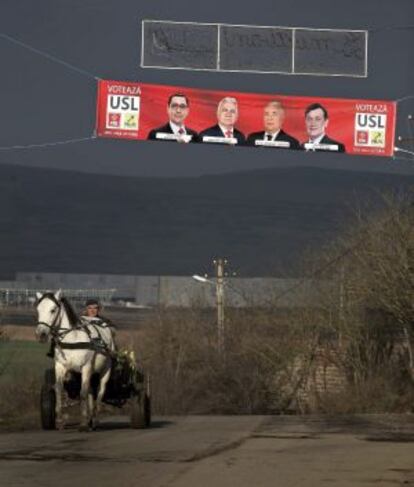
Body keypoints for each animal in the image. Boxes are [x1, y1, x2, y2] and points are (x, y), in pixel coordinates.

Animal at [34, 290, 114, 430]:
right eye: (38, 309)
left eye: (53, 310)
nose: (40, 334)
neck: (72, 338)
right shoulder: (60, 366)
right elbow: (59, 389)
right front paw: (60, 420)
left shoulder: (86, 366)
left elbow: (83, 393)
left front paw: (83, 423)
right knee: (90, 391)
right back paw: (90, 418)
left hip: (106, 369)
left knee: (100, 391)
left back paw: (95, 419)